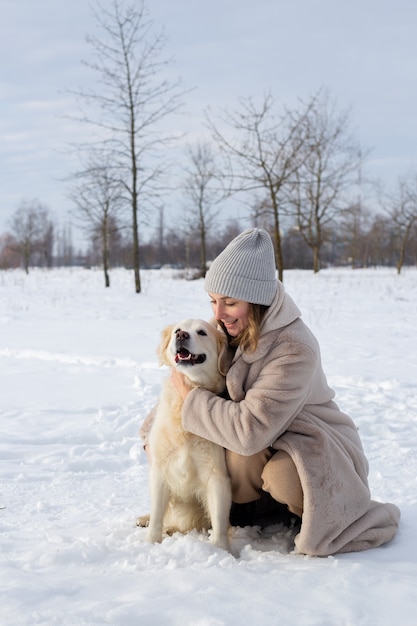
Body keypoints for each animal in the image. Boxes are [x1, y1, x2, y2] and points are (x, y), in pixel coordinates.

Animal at [138, 320, 232, 548]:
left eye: (202, 332)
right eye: (177, 330)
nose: (181, 335)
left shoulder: (216, 475)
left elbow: (219, 520)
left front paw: (221, 550)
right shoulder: (160, 469)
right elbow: (157, 514)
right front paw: (151, 543)